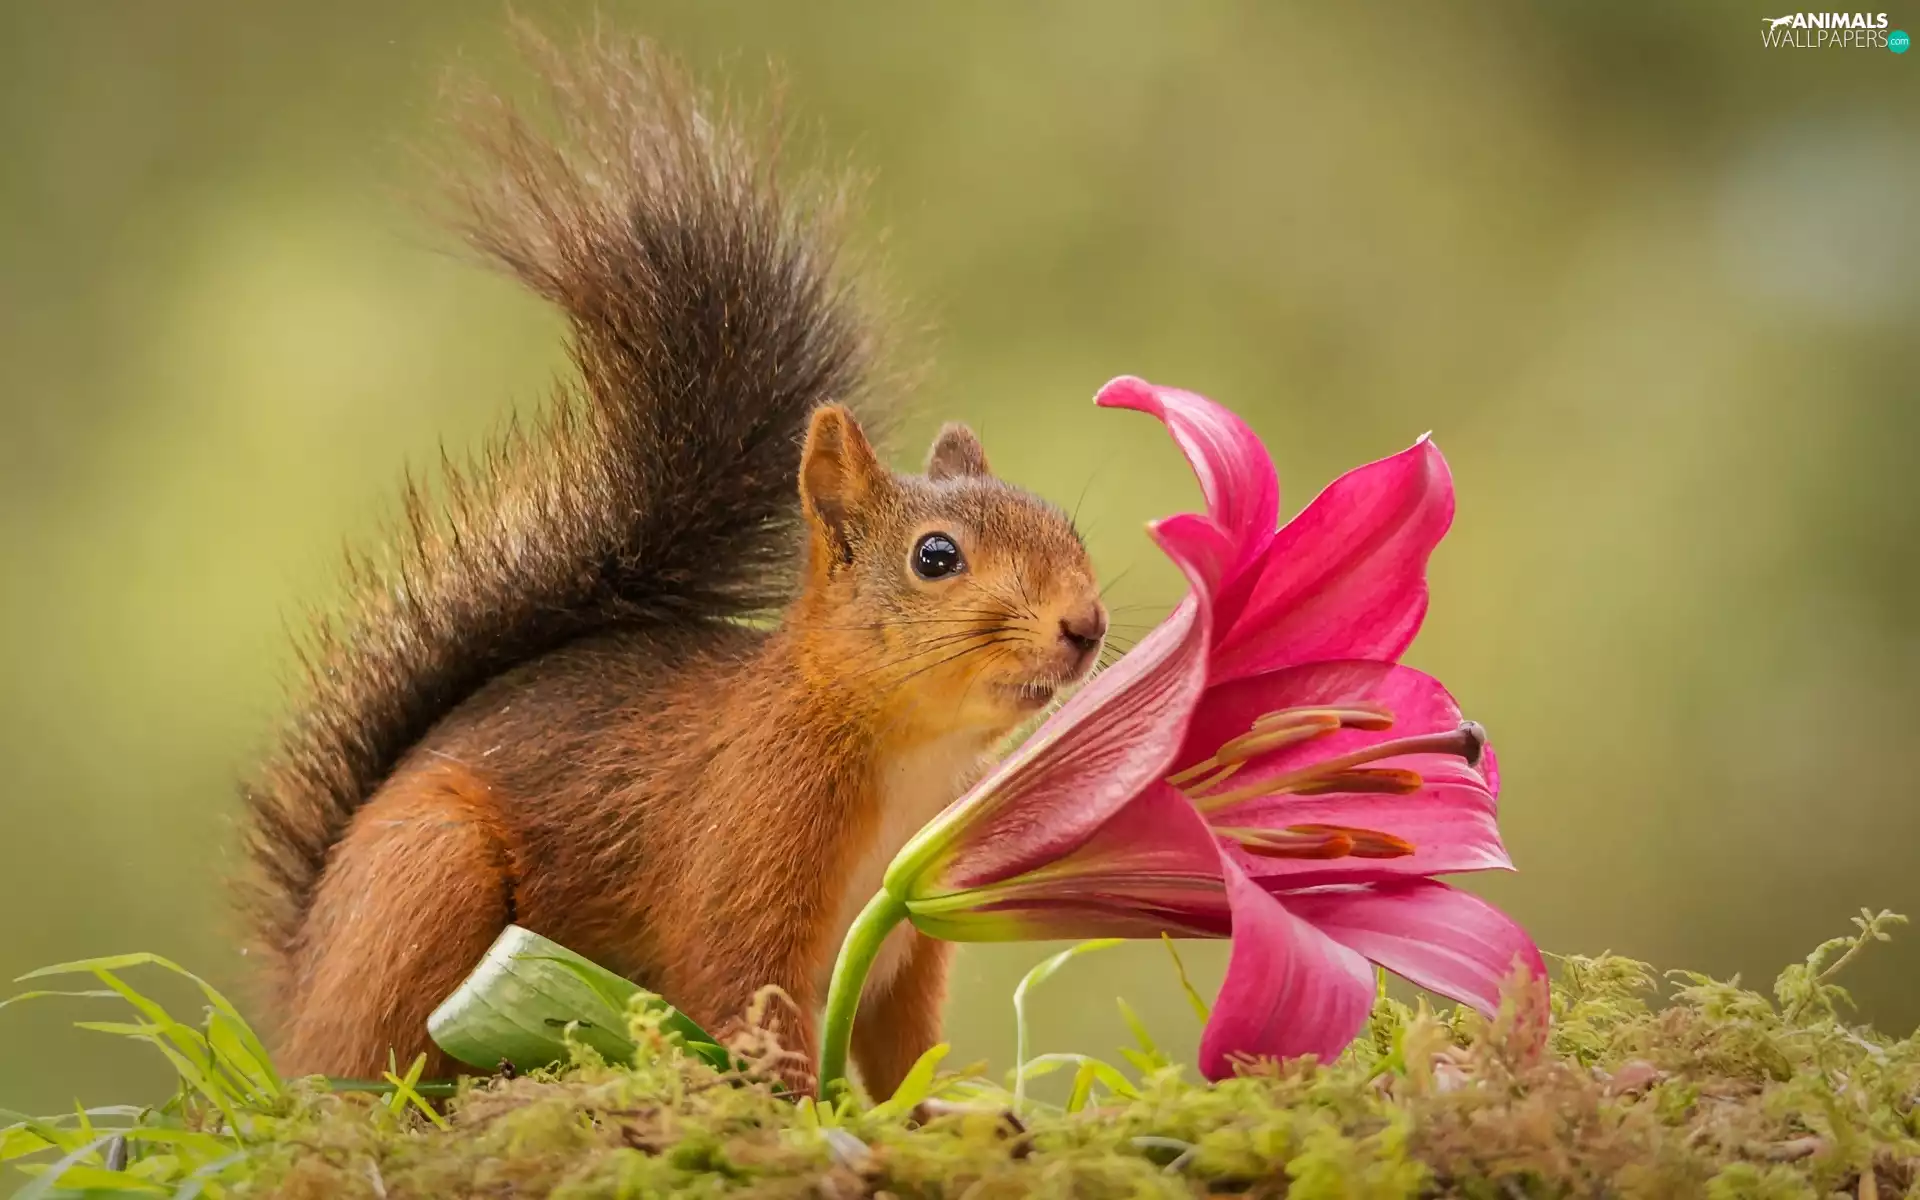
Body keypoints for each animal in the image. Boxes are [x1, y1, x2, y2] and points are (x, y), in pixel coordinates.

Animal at [237, 32, 1107, 1101]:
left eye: (1066, 531)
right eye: (935, 557)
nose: (1086, 626)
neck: (910, 750)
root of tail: (304, 979)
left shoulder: (905, 938)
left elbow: (905, 1046)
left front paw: (942, 1110)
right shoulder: (744, 846)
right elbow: (743, 997)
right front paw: (799, 1113)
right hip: (431, 883)